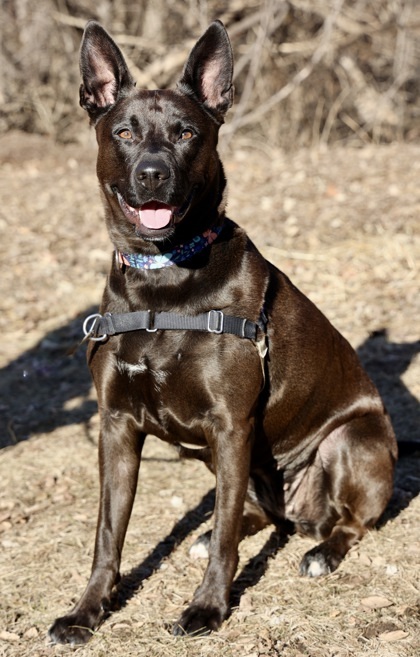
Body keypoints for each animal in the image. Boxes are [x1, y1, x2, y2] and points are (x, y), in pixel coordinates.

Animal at [49, 21, 398, 644]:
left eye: (187, 132)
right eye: (124, 132)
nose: (153, 173)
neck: (162, 279)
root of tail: (300, 513)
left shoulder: (230, 424)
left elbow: (229, 541)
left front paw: (207, 608)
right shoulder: (117, 426)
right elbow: (107, 536)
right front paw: (87, 612)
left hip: (350, 440)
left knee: (348, 522)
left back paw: (322, 552)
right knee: (249, 513)